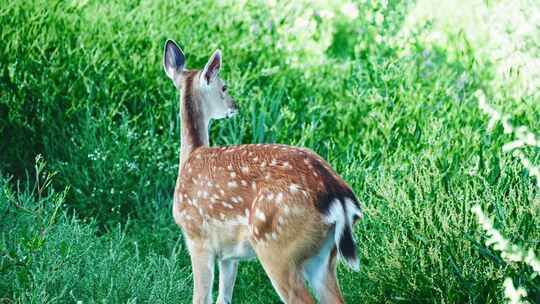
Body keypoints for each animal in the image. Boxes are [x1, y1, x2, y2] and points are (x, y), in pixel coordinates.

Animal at [165, 39, 362, 302]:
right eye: (224, 87)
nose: (235, 106)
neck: (190, 157)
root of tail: (339, 197)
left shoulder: (197, 238)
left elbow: (200, 298)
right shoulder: (228, 255)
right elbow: (223, 297)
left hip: (277, 247)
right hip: (323, 257)